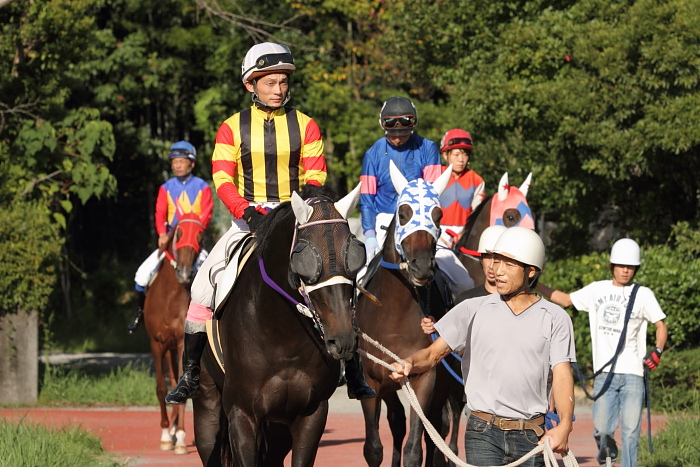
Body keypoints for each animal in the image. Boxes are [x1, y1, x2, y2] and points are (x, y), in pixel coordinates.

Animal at [193, 185, 364, 466]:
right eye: (303, 258)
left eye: (355, 254)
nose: (343, 340)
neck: (282, 337)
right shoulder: (242, 414)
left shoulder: (312, 413)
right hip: (207, 408)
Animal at [356, 162, 454, 467]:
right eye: (403, 213)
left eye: (438, 214)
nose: (421, 267)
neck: (395, 316)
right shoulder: (372, 381)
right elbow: (373, 448)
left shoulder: (425, 378)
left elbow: (416, 449)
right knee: (397, 421)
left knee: (439, 429)